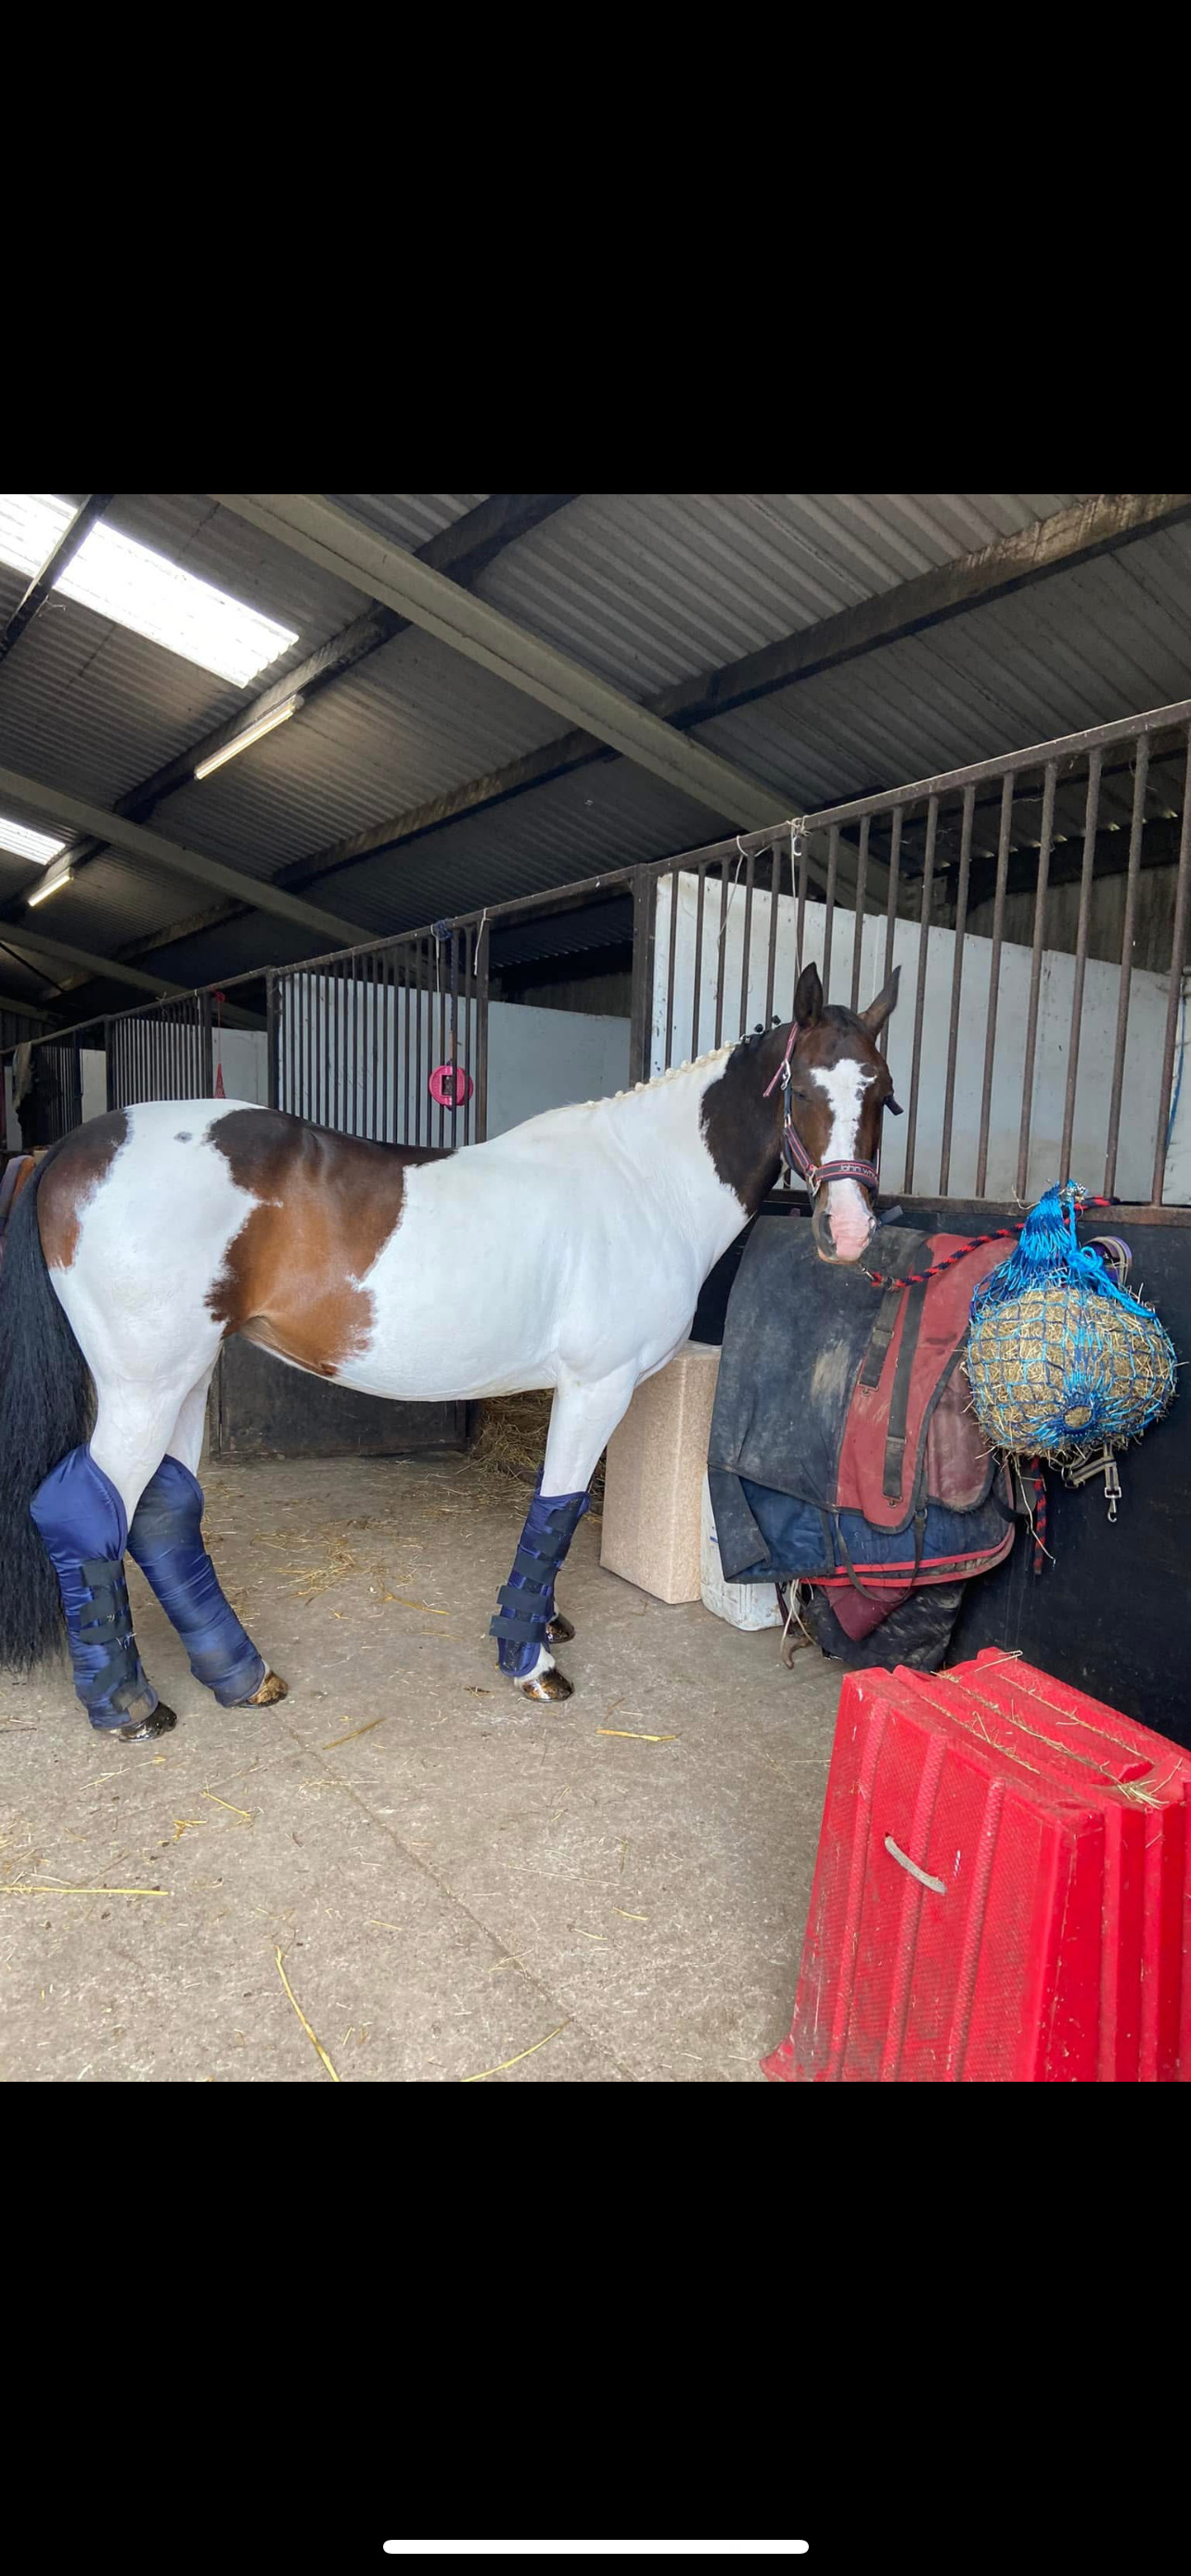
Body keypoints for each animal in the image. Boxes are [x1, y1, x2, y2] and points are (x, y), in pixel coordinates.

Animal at [0, 960, 899, 1743]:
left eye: (884, 1095)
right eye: (804, 1089)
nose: (850, 1233)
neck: (644, 1185)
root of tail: (71, 1147)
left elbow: (557, 1510)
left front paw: (543, 1626)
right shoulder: (597, 1385)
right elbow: (558, 1508)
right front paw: (530, 1661)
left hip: (185, 1380)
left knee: (163, 1514)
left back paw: (240, 1676)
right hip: (144, 1387)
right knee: (85, 1510)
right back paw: (129, 1708)